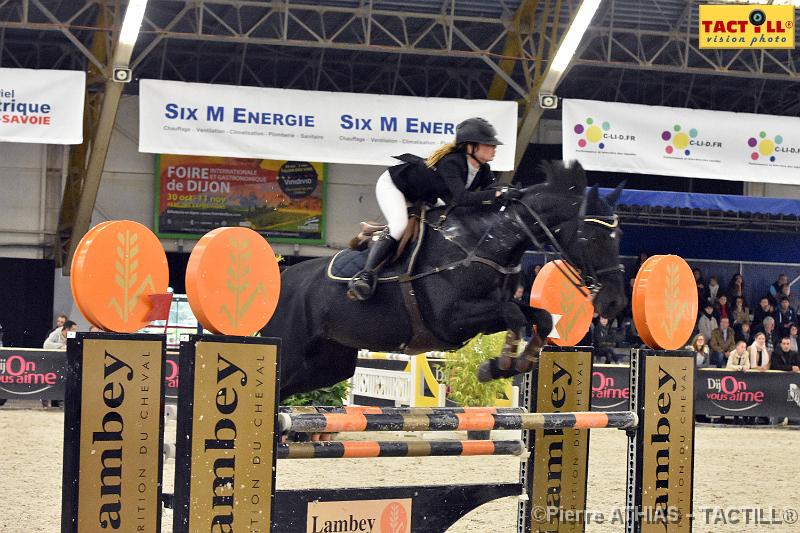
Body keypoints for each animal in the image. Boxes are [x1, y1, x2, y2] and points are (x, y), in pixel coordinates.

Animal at [266, 160, 628, 396]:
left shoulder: (484, 316)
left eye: (619, 236)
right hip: (292, 349)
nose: (614, 303)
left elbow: (539, 317)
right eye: (591, 238)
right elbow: (514, 314)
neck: (482, 242)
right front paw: (499, 366)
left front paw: (509, 365)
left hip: (329, 363)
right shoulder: (451, 320)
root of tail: (284, 278)